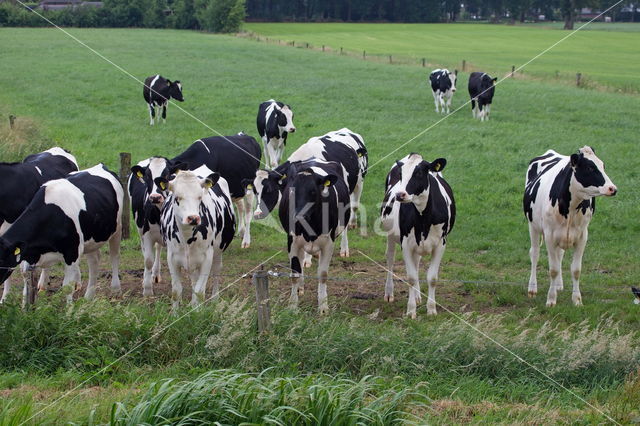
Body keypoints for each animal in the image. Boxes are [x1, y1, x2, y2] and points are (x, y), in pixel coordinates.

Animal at [0, 164, 122, 302]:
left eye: (1, 260)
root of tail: (100, 165)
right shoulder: (28, 255)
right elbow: (26, 285)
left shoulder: (72, 253)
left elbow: (67, 287)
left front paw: (70, 308)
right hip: (91, 237)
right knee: (94, 260)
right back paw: (88, 297)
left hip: (117, 228)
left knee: (114, 256)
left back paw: (116, 289)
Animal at [280, 159, 350, 312]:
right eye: (292, 191)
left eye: (313, 191)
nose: (298, 217)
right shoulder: (292, 241)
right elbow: (295, 273)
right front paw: (292, 305)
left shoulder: (329, 243)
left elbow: (323, 275)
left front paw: (323, 306)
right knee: (300, 262)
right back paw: (300, 287)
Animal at [380, 153, 456, 316]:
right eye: (401, 174)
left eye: (419, 173)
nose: (400, 195)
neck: (423, 218)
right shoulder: (406, 244)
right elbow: (411, 277)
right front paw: (411, 311)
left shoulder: (441, 244)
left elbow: (432, 278)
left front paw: (431, 309)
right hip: (390, 234)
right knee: (390, 259)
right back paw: (389, 293)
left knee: (416, 262)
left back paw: (417, 296)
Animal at [524, 146, 616, 306]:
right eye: (590, 168)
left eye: (603, 165)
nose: (612, 188)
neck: (570, 207)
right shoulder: (549, 236)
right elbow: (553, 269)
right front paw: (551, 300)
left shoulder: (582, 236)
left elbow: (576, 270)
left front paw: (577, 300)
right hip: (533, 226)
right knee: (534, 253)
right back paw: (532, 289)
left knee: (559, 255)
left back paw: (559, 285)